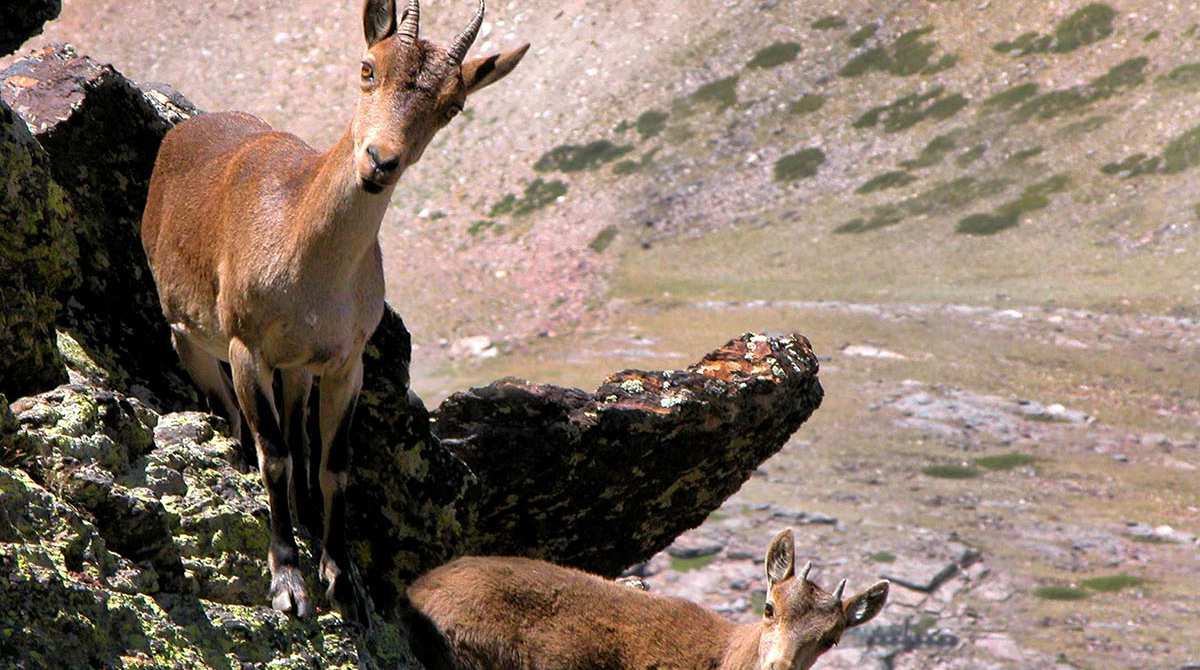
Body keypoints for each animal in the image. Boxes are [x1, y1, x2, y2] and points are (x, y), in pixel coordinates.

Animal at [140, 0, 528, 617]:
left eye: (453, 105)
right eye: (368, 68)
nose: (380, 162)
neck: (308, 261)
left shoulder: (347, 364)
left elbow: (334, 465)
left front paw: (344, 578)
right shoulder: (248, 348)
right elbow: (274, 453)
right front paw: (287, 580)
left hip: (299, 369)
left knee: (299, 436)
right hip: (189, 334)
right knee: (234, 417)